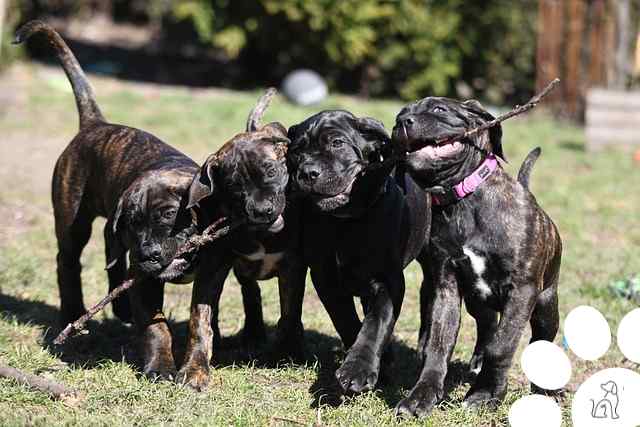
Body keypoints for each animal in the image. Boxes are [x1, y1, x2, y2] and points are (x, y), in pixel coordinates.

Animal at [15, 21, 200, 380]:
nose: (147, 254)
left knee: (111, 251)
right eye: (135, 224)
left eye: (169, 215)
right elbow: (157, 327)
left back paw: (121, 307)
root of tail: (95, 124)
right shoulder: (145, 281)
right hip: (73, 221)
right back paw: (74, 314)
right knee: (68, 262)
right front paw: (160, 367)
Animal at [175, 93, 304, 392]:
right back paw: (253, 333)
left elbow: (290, 312)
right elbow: (200, 320)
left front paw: (286, 351)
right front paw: (195, 368)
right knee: (249, 291)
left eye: (271, 170)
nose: (262, 210)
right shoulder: (212, 267)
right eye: (234, 186)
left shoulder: (293, 266)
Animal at [286, 110, 430, 394]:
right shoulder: (326, 279)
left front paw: (358, 369)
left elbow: (376, 323)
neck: (346, 222)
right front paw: (371, 364)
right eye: (297, 151)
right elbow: (347, 321)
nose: (308, 172)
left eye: (337, 143)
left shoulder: (387, 280)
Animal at [392, 98, 564, 418]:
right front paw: (420, 397)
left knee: (537, 339)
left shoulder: (522, 291)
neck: (462, 200)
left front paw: (485, 395)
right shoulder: (446, 286)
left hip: (546, 306)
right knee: (487, 327)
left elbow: (503, 345)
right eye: (400, 115)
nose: (402, 123)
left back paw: (543, 389)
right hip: (476, 302)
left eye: (438, 110)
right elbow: (437, 345)